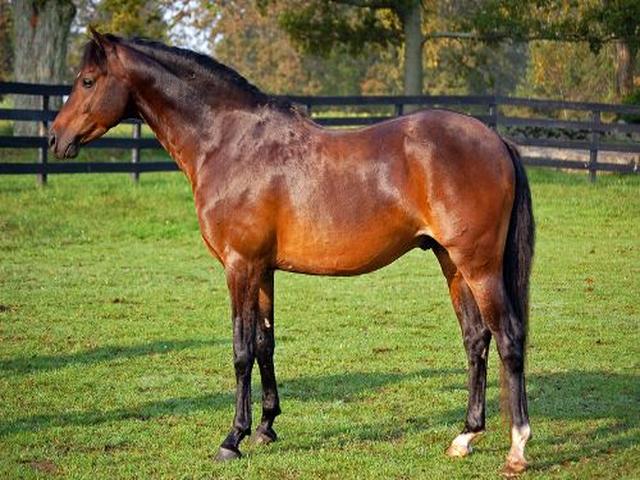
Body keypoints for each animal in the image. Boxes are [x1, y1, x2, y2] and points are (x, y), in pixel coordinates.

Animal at [50, 28, 534, 475]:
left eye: (88, 80)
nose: (55, 138)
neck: (229, 142)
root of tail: (495, 140)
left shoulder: (239, 266)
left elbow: (241, 350)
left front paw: (232, 439)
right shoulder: (263, 269)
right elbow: (265, 343)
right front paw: (265, 427)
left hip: (478, 265)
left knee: (508, 337)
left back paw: (516, 449)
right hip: (451, 262)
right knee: (476, 339)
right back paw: (465, 436)